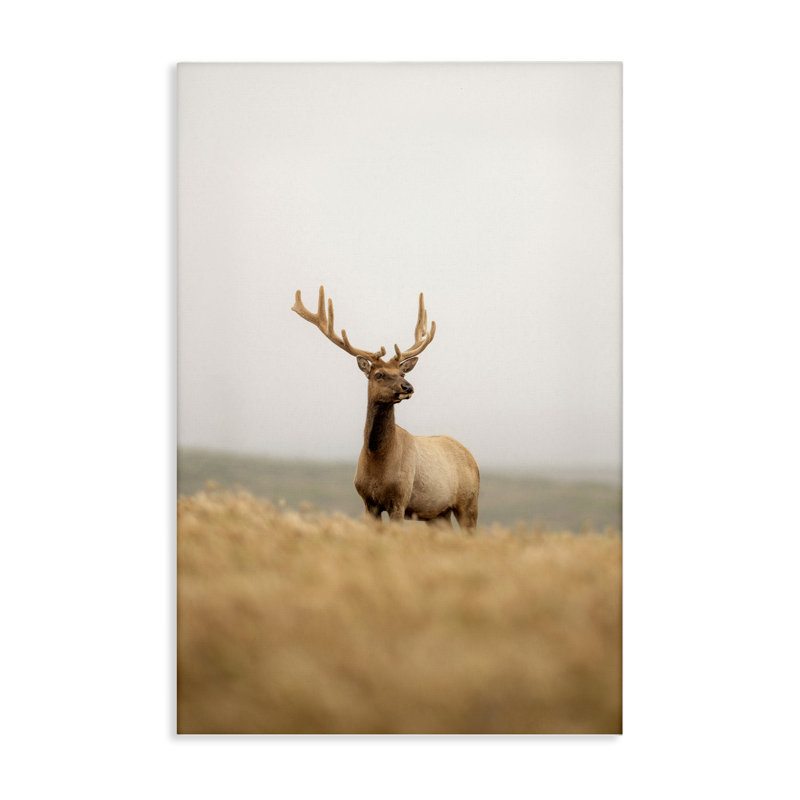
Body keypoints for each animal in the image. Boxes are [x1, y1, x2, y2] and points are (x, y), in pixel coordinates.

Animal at [292, 286, 480, 529]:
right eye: (379, 374)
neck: (378, 461)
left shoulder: (400, 498)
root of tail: (472, 458)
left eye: (402, 373)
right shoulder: (367, 501)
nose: (408, 387)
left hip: (469, 502)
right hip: (437, 513)